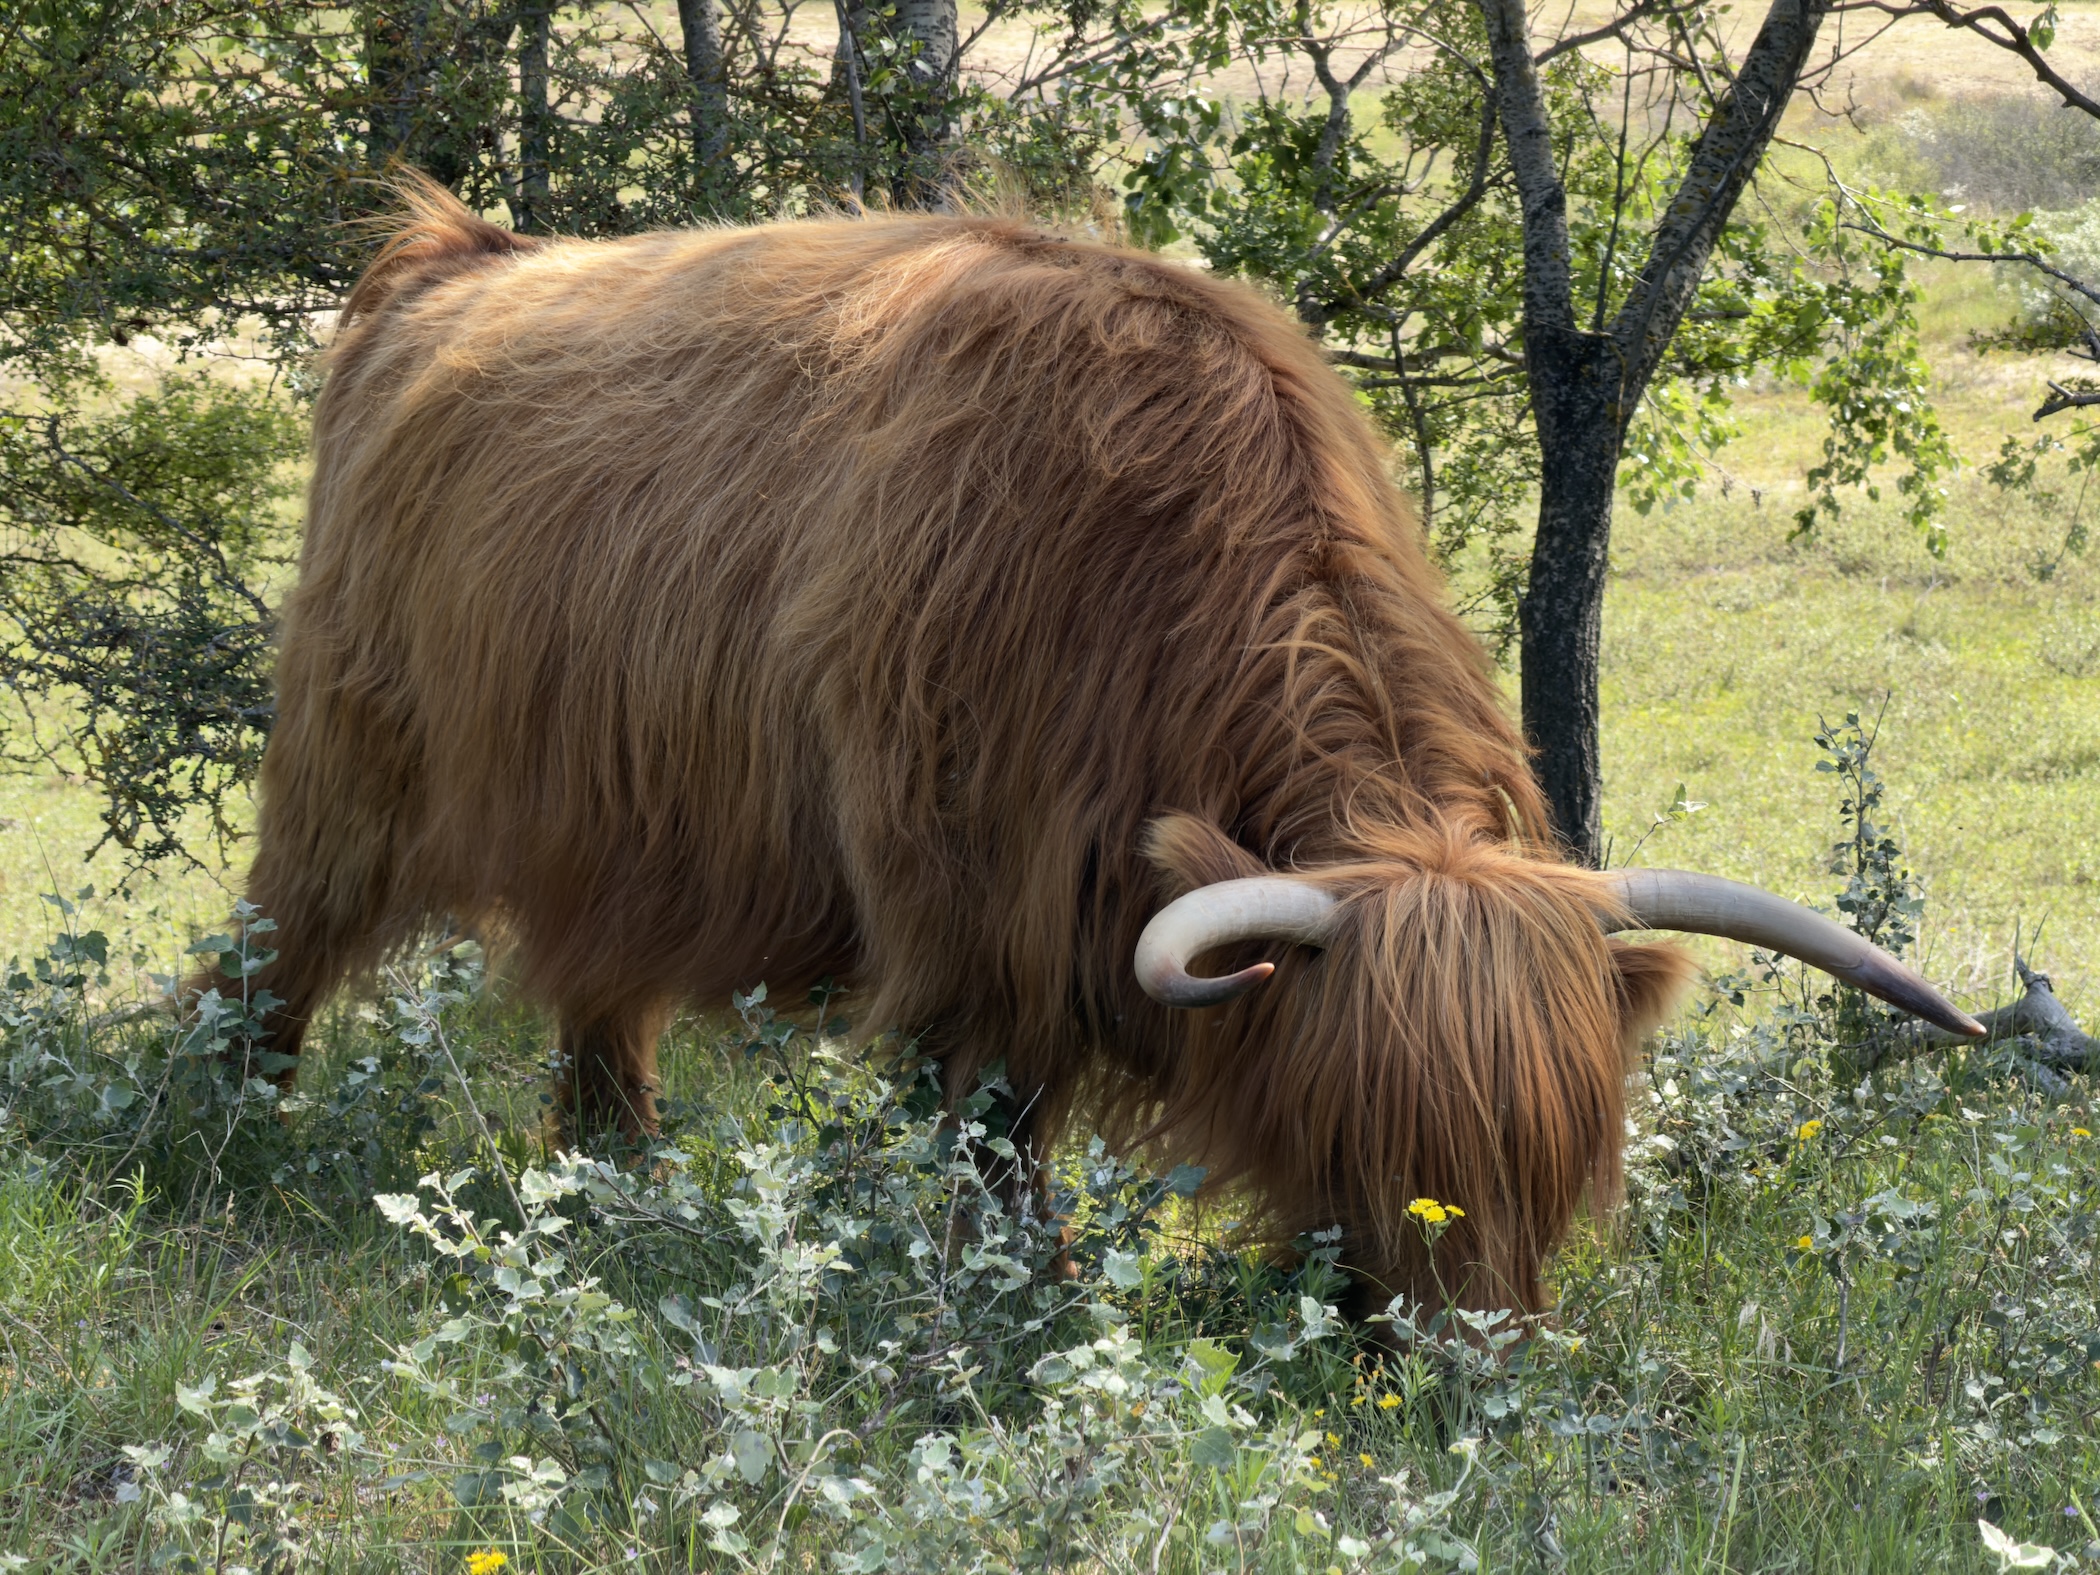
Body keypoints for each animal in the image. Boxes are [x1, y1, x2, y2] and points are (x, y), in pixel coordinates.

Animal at [204, 174, 1980, 1314]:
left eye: (1555, 1154)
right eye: (1370, 1135)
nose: (1467, 1352)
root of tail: (454, 261)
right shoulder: (968, 931)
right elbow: (990, 1143)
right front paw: (1020, 1304)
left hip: (617, 826)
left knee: (597, 999)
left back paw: (618, 1175)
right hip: (346, 755)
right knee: (275, 949)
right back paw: (216, 1139)